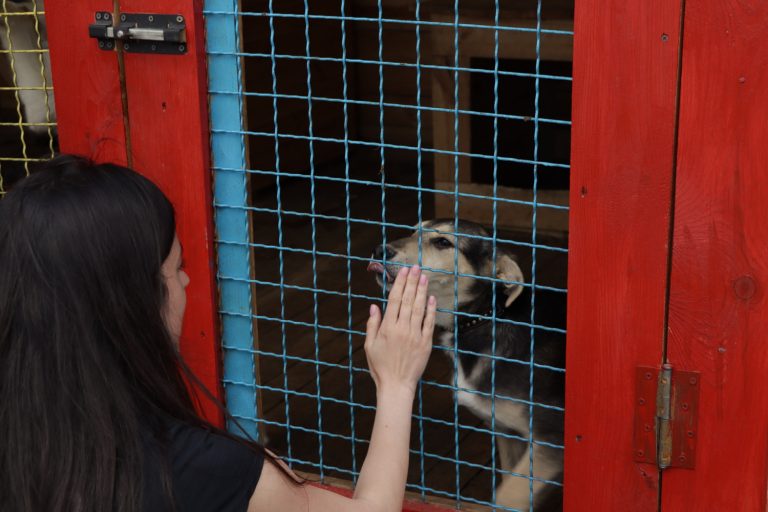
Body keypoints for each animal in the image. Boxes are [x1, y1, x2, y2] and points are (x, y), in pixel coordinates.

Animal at [368, 218, 568, 510]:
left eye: (443, 242)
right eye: (415, 230)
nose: (380, 250)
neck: (483, 318)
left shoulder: (552, 438)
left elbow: (507, 495)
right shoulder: (509, 433)